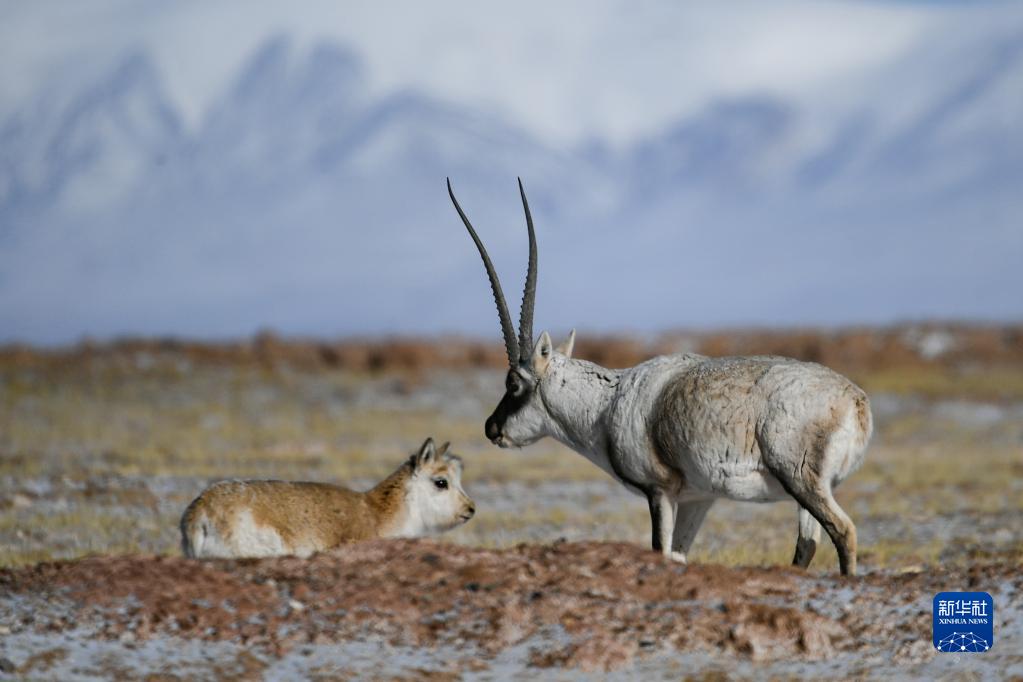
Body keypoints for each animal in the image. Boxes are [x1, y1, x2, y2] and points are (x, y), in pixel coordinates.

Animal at [448, 177, 871, 576]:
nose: (491, 427)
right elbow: (679, 556)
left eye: (514, 383)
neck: (607, 404)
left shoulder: (660, 490)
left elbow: (659, 552)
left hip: (802, 483)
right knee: (808, 544)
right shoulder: (698, 498)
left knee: (844, 531)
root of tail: (856, 403)